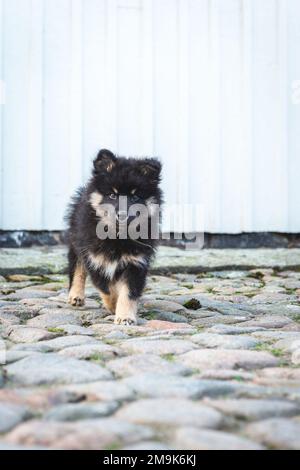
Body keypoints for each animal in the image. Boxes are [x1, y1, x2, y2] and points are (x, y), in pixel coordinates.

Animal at [65, 149, 163, 324]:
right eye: (112, 195)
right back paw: (76, 296)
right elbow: (106, 288)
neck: (118, 237)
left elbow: (128, 292)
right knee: (77, 268)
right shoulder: (94, 259)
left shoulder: (136, 262)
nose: (122, 215)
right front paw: (113, 306)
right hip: (76, 243)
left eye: (135, 197)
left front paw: (125, 317)